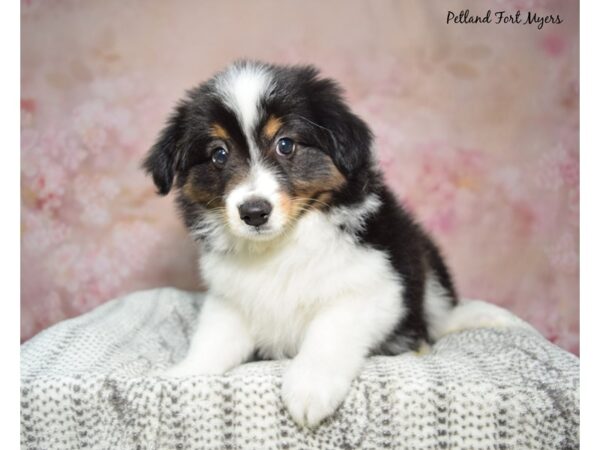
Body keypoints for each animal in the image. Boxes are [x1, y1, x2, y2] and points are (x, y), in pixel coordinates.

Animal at [144, 60, 460, 428]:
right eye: (218, 154)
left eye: (285, 144)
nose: (254, 213)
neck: (280, 245)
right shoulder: (231, 298)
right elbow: (213, 339)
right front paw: (183, 374)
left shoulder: (374, 286)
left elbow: (328, 333)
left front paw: (310, 388)